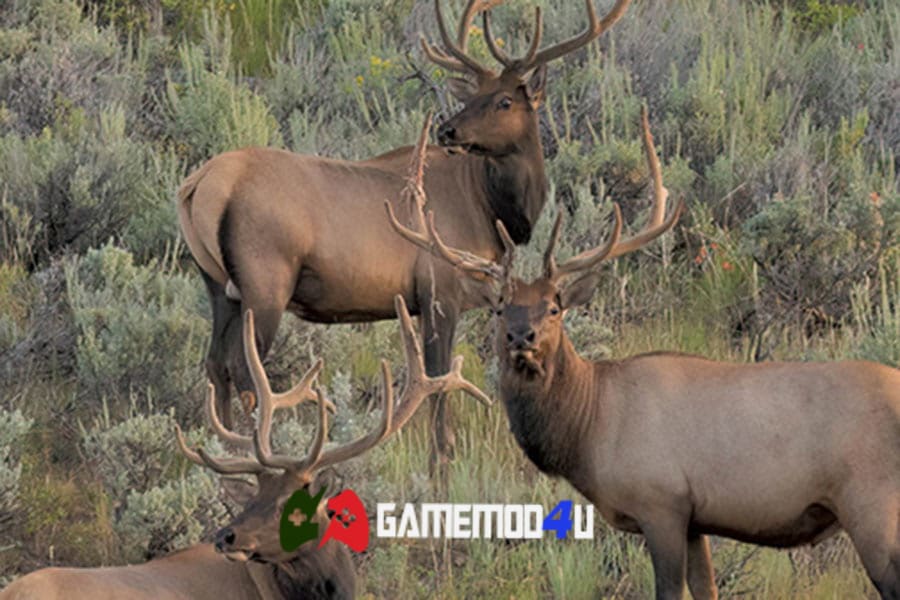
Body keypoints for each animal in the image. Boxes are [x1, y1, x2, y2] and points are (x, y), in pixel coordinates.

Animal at [176, 0, 632, 477]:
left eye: (504, 100)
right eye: (472, 97)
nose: (448, 130)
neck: (490, 206)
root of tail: (198, 185)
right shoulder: (440, 289)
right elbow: (439, 380)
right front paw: (441, 465)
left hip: (218, 285)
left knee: (215, 364)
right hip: (265, 282)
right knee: (244, 368)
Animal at [388, 107, 900, 600]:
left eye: (554, 307)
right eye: (499, 307)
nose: (521, 338)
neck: (589, 427)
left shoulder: (662, 502)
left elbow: (670, 590)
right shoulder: (695, 519)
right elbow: (707, 589)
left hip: (872, 506)